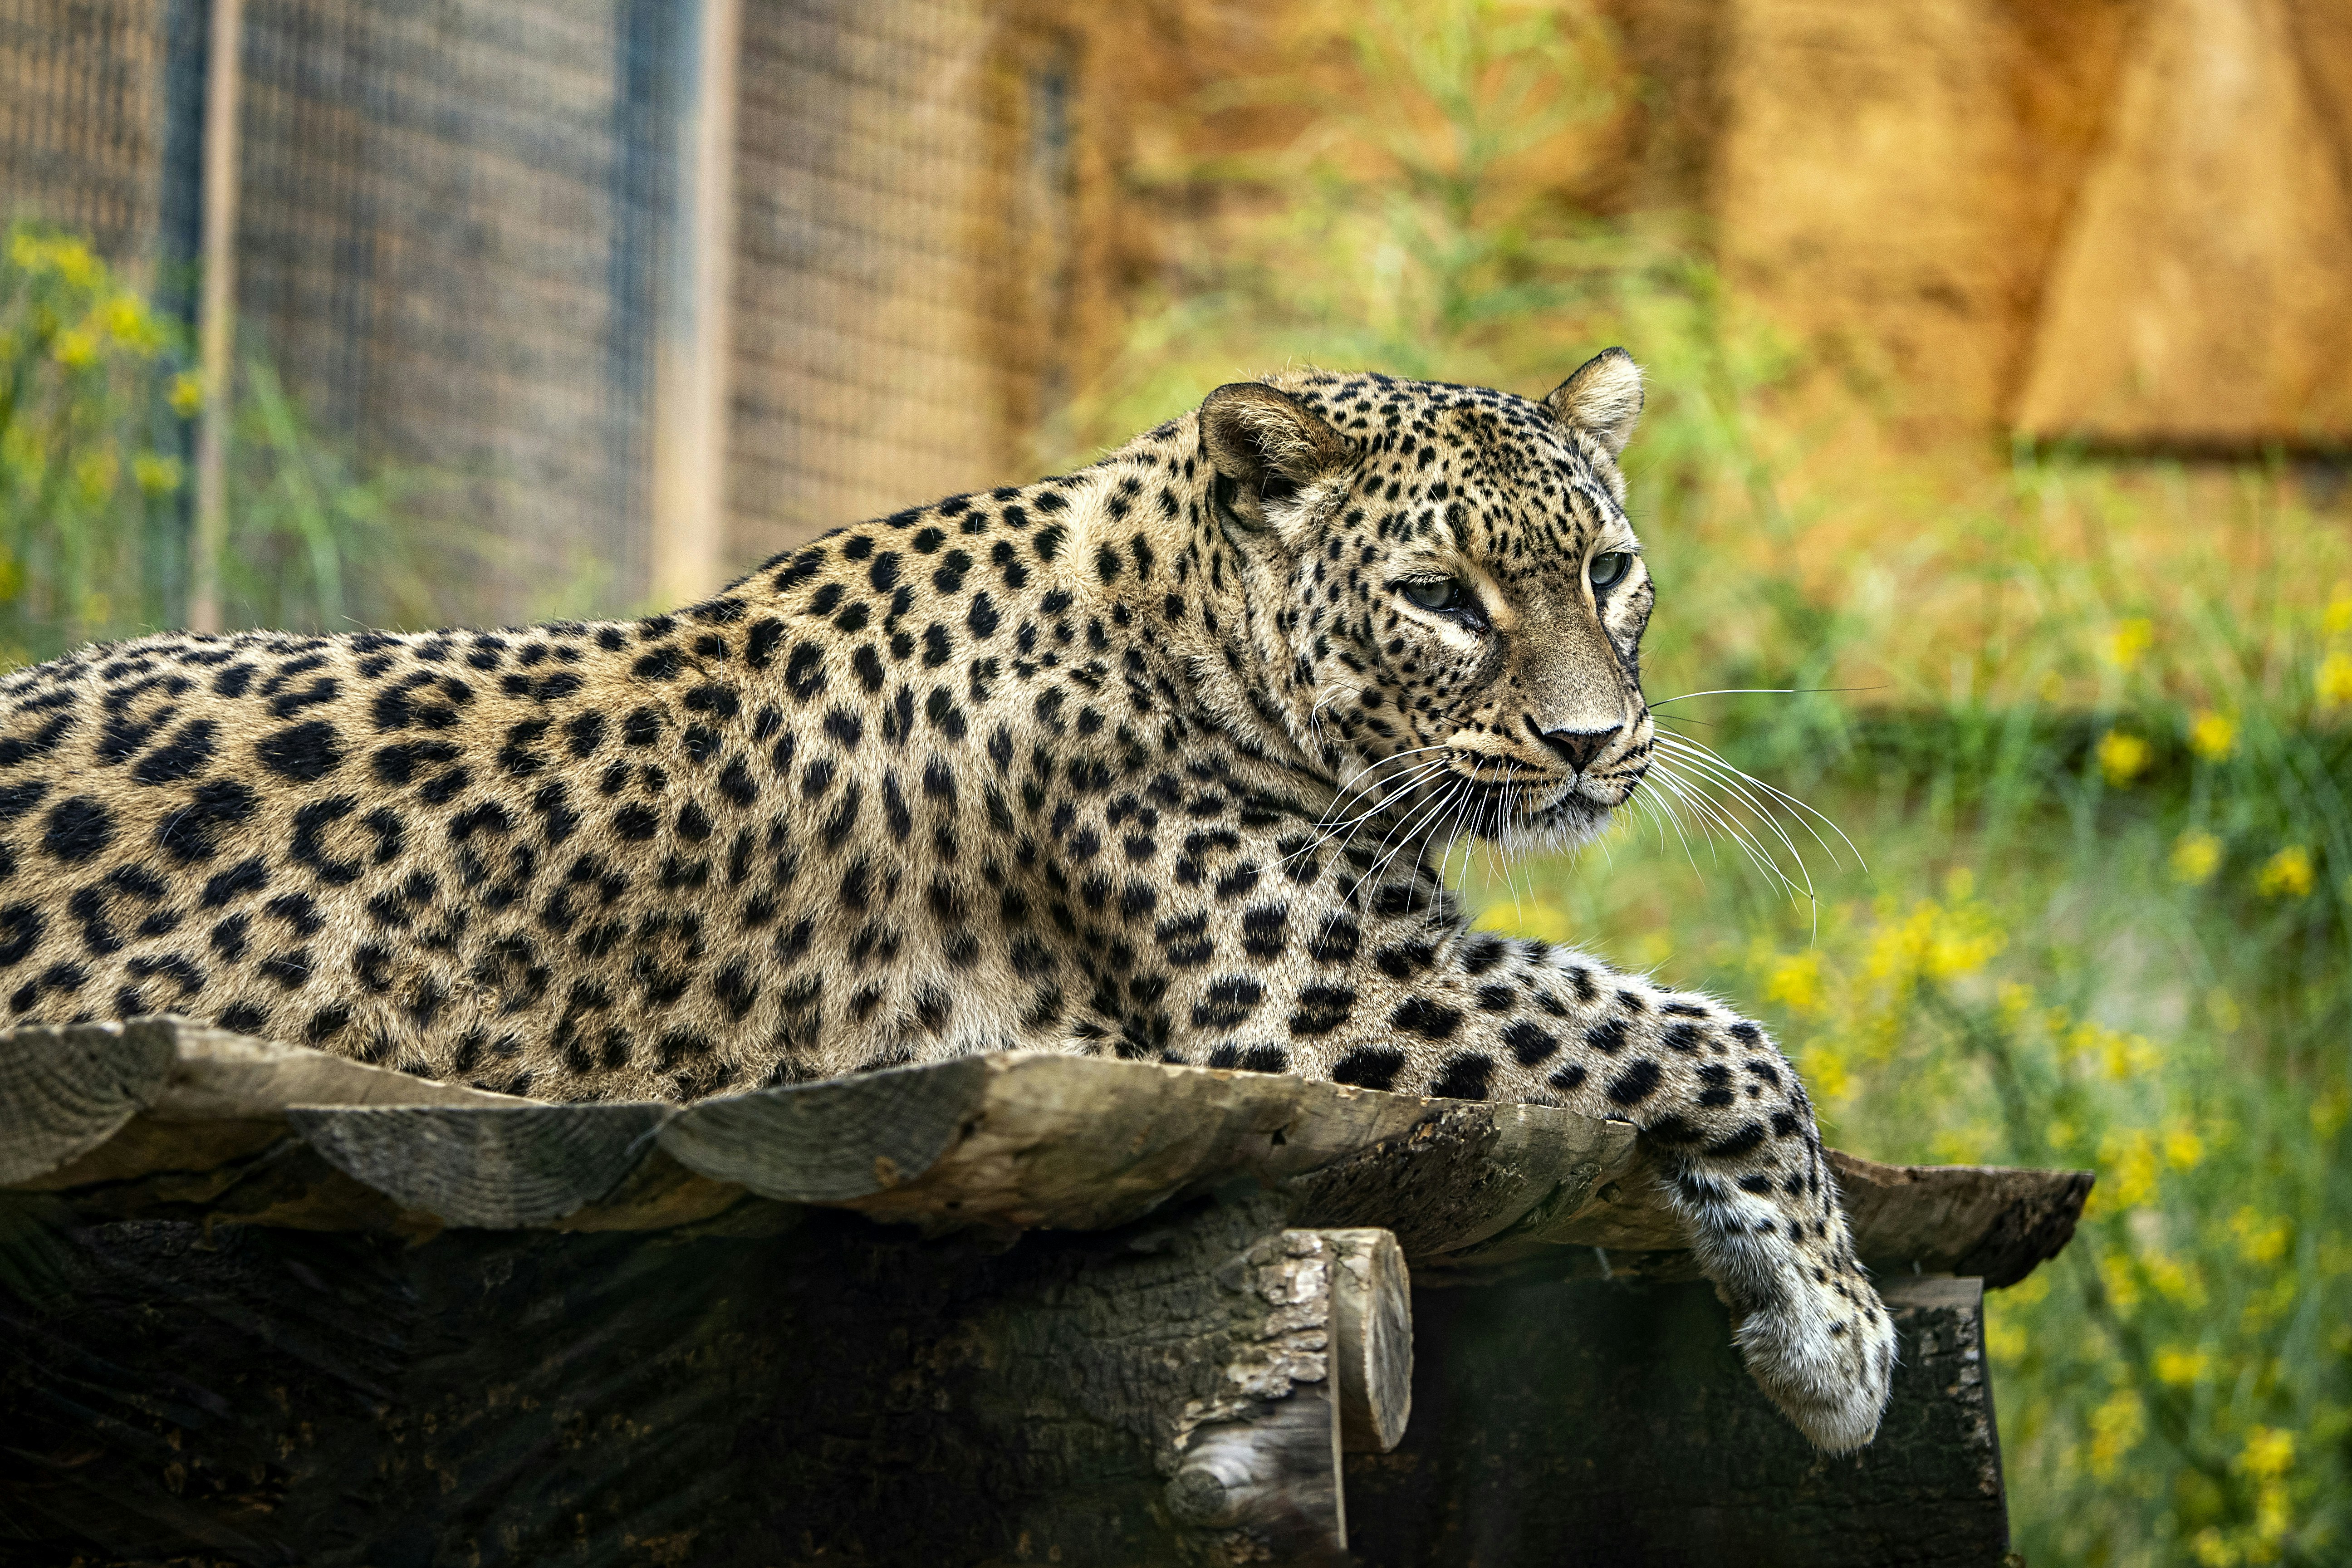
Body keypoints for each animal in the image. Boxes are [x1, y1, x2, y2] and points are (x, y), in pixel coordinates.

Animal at [0, 349, 1894, 1450]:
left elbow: (1683, 1022)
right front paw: (1838, 1336)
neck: (1182, 621)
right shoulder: (1317, 996)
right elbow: (1718, 1035)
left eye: (1607, 571)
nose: (1594, 742)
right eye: (1438, 597)